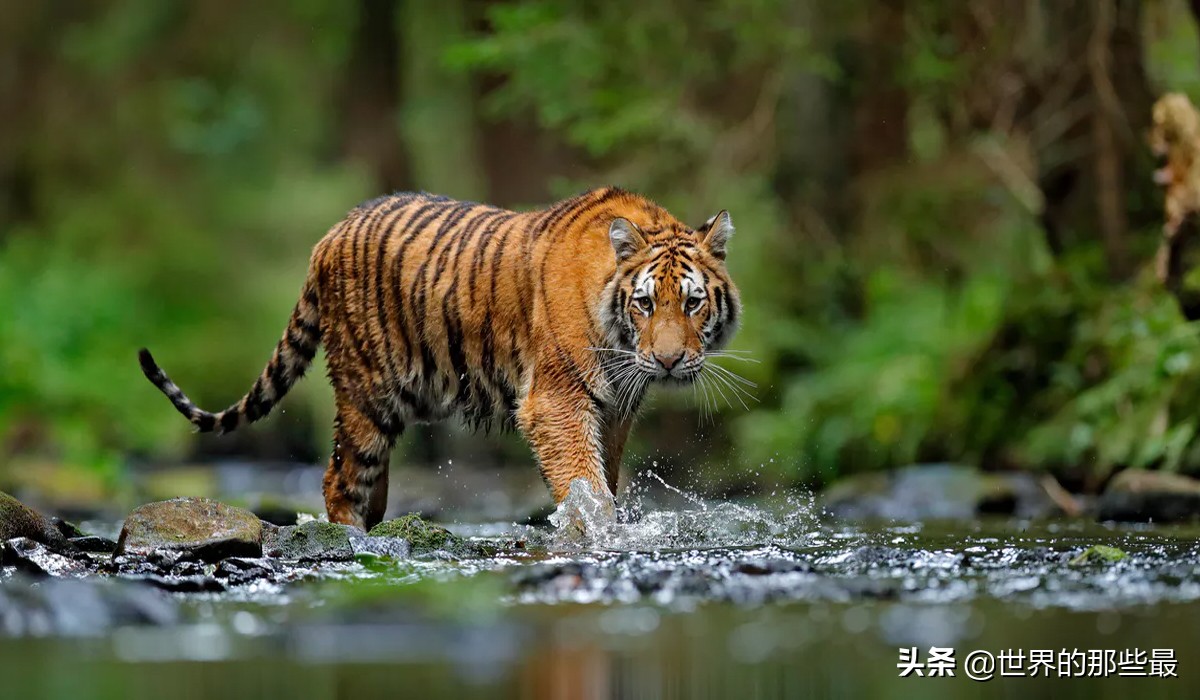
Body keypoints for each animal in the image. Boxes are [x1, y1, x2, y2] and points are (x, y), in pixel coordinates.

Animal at [138, 187, 741, 530]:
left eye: (692, 302)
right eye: (645, 303)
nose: (668, 361)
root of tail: (330, 234)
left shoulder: (615, 410)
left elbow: (604, 480)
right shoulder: (557, 402)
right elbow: (585, 487)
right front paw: (597, 532)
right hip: (366, 393)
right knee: (339, 478)